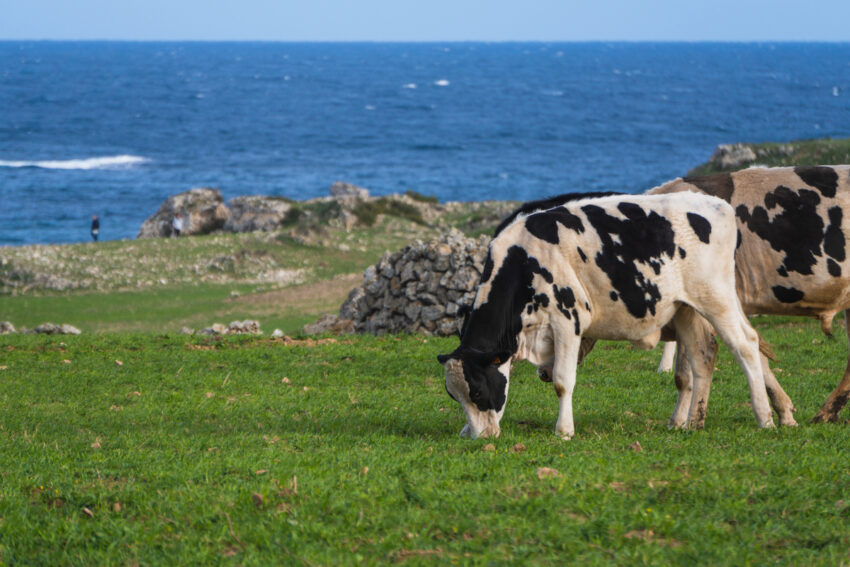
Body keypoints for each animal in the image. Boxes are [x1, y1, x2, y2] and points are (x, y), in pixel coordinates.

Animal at [437, 192, 775, 439]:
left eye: (478, 391)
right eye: (455, 396)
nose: (478, 437)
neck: (524, 260)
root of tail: (717, 204)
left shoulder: (567, 319)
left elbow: (562, 381)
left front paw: (564, 431)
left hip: (716, 297)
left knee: (745, 344)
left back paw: (765, 418)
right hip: (686, 309)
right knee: (700, 355)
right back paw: (691, 422)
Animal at [647, 166, 850, 424]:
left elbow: (689, 368)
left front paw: (680, 421)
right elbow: (757, 354)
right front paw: (784, 412)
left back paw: (826, 413)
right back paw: (826, 413)